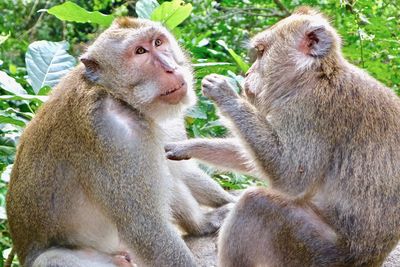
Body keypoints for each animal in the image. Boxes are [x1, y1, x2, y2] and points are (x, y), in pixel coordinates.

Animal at [6, 17, 234, 267]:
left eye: (158, 42)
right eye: (140, 51)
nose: (171, 67)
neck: (119, 97)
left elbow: (180, 169)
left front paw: (219, 210)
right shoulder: (114, 137)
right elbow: (146, 228)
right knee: (51, 259)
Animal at [165, 6, 400, 267]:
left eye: (261, 52)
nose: (248, 73)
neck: (314, 75)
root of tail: (370, 261)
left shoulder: (309, 110)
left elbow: (291, 174)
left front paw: (225, 94)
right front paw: (189, 146)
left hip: (313, 250)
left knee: (256, 203)